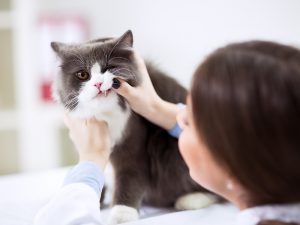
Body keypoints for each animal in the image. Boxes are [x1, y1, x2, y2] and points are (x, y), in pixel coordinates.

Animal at [50, 30, 217, 225]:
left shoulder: (132, 141)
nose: (98, 84)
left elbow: (129, 175)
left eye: (109, 68)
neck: (106, 115)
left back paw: (191, 199)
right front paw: (96, 201)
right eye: (83, 74)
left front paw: (122, 213)